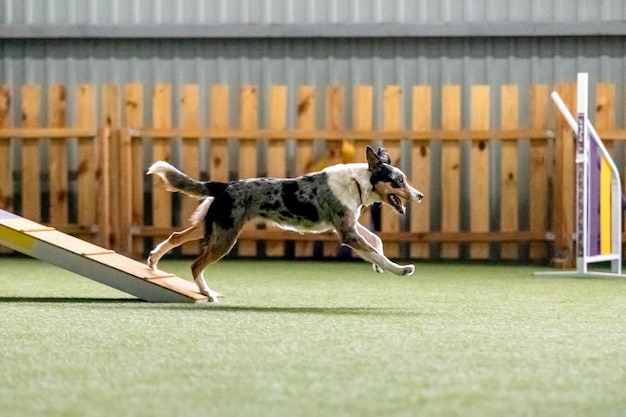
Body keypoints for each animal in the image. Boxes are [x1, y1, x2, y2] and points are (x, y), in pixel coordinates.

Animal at [146, 145, 424, 300]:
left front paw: (378, 264)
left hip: (210, 227)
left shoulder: (348, 224)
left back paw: (153, 261)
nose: (420, 196)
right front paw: (400, 269)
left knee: (175, 237)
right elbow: (379, 255)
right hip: (225, 236)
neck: (358, 182)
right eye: (399, 181)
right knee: (196, 265)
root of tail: (224, 185)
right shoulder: (347, 232)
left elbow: (376, 241)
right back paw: (207, 293)